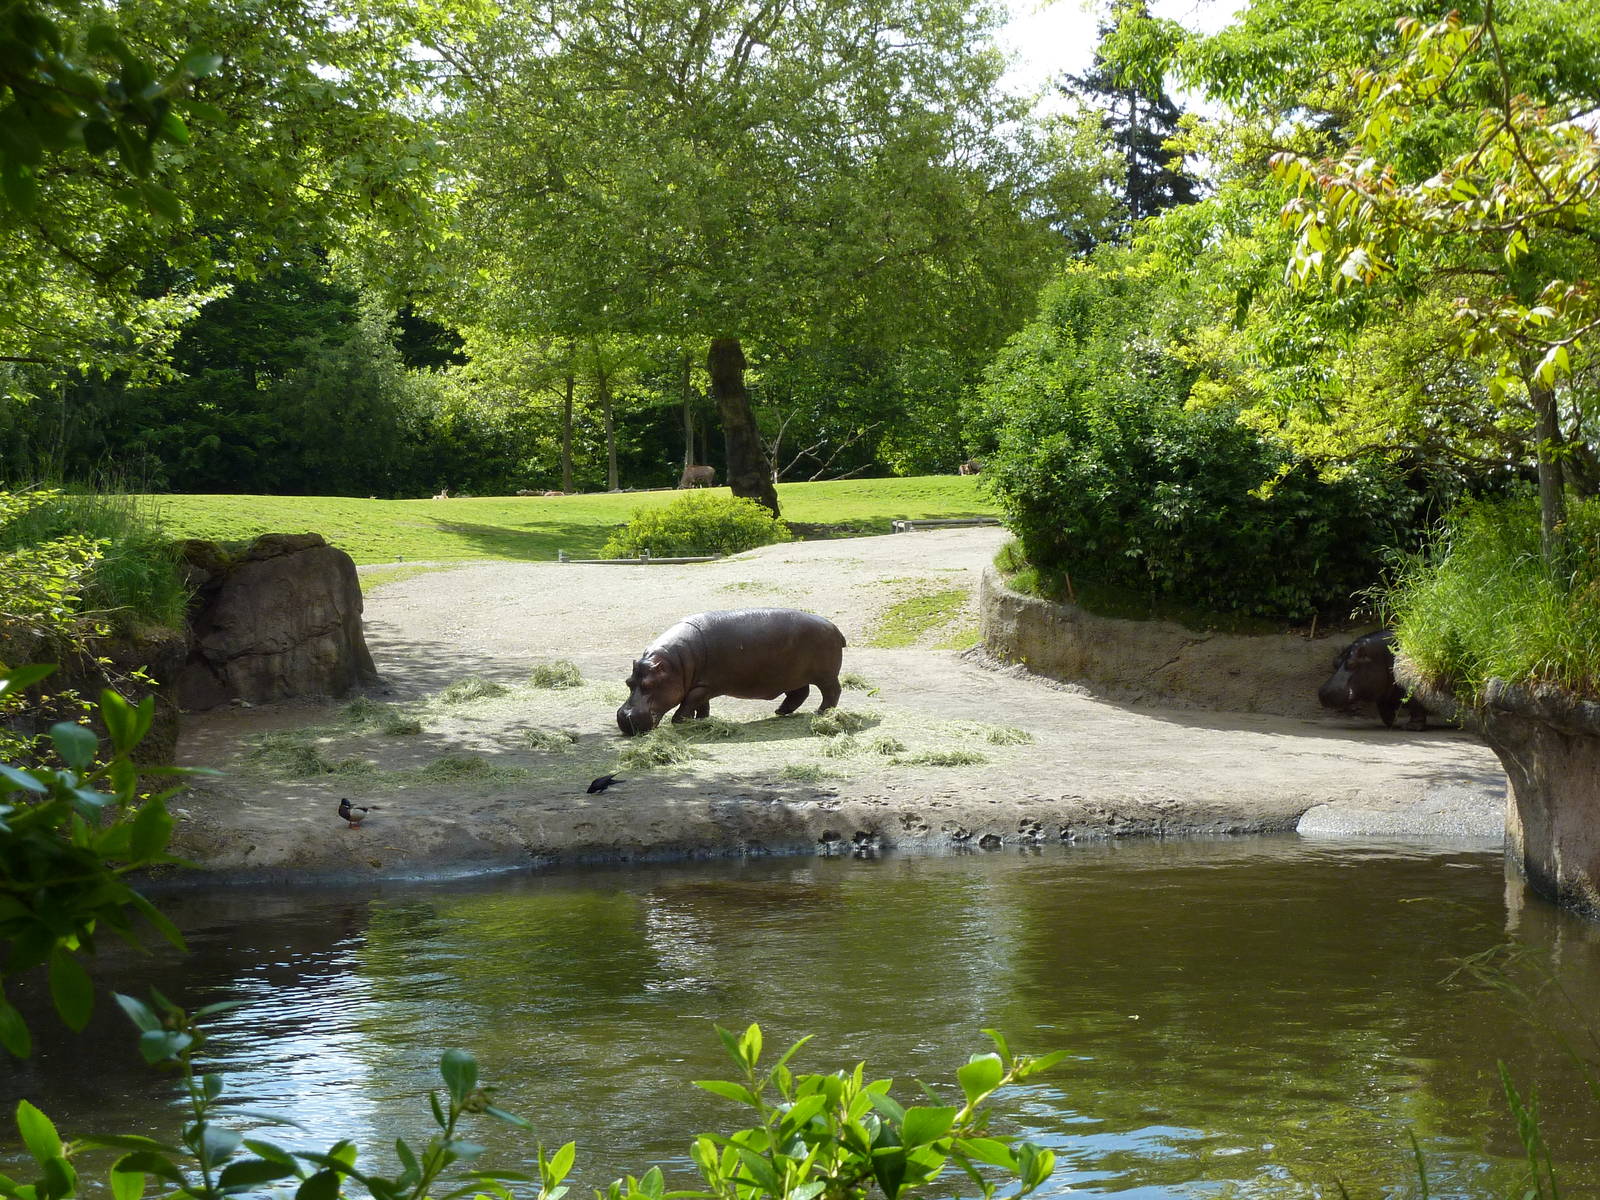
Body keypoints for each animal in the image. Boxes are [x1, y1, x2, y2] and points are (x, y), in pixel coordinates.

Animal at [616, 608, 846, 735]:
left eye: (649, 685)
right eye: (628, 682)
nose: (625, 717)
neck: (674, 665)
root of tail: (835, 628)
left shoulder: (703, 686)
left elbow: (688, 702)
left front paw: (680, 721)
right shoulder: (701, 685)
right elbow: (700, 704)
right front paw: (702, 720)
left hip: (825, 676)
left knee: (832, 691)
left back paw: (821, 713)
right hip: (791, 676)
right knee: (800, 693)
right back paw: (781, 711)